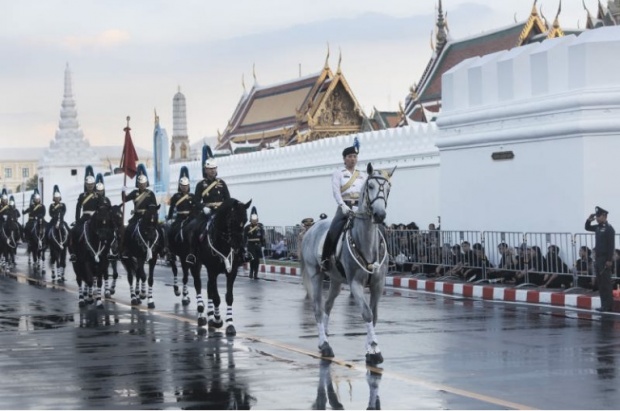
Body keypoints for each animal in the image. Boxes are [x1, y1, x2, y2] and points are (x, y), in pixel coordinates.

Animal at [194, 199, 252, 332]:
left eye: (246, 220)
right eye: (232, 220)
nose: (238, 245)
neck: (223, 244)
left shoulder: (232, 271)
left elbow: (228, 297)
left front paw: (230, 324)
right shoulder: (212, 271)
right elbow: (216, 297)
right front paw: (218, 320)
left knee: (208, 288)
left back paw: (210, 317)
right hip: (194, 263)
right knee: (198, 285)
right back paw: (202, 316)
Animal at [302, 163, 398, 366]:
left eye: (388, 188)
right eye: (370, 186)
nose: (379, 215)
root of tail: (312, 228)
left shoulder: (378, 284)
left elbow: (374, 315)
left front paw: (370, 349)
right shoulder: (355, 283)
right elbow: (367, 313)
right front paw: (375, 349)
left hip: (336, 280)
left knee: (328, 305)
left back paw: (326, 336)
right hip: (316, 274)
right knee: (317, 307)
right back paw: (324, 345)